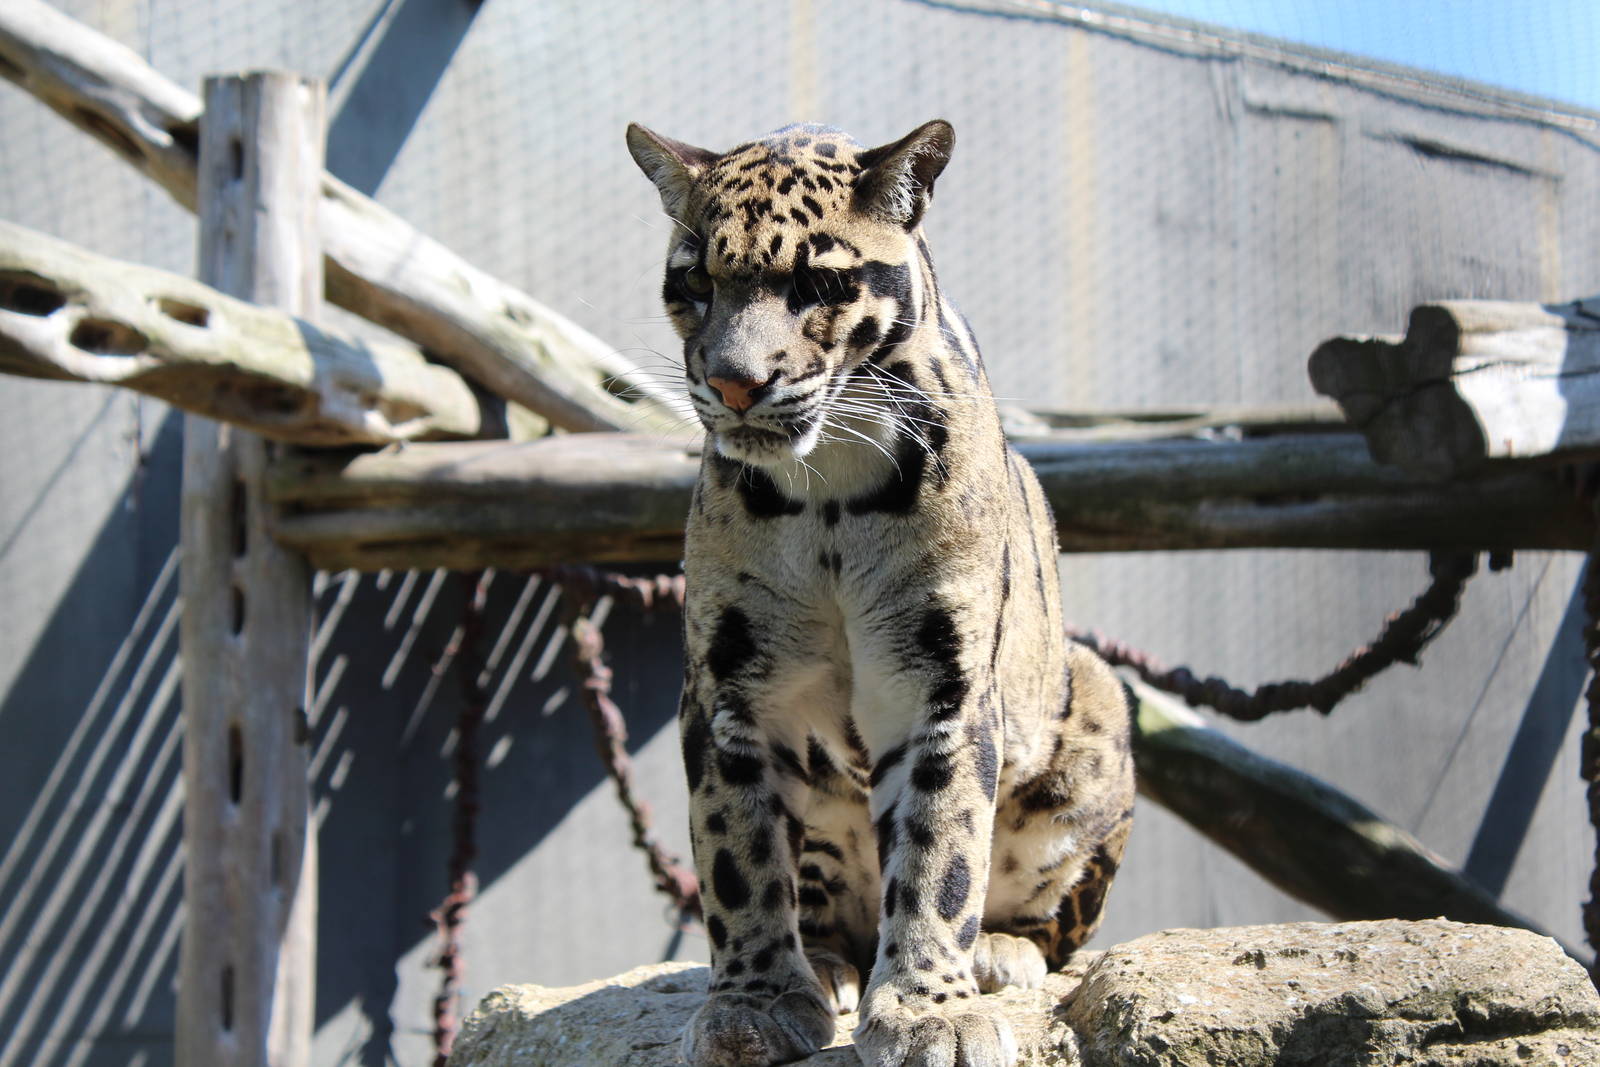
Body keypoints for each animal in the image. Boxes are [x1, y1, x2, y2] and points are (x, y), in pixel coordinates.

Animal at [626, 119, 1135, 1067]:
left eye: (817, 284)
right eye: (696, 282)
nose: (734, 381)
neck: (826, 479)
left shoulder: (942, 682)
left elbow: (941, 853)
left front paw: (931, 1009)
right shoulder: (727, 687)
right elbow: (737, 855)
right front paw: (752, 1003)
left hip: (1101, 699)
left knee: (1055, 924)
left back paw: (999, 954)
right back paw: (829, 962)